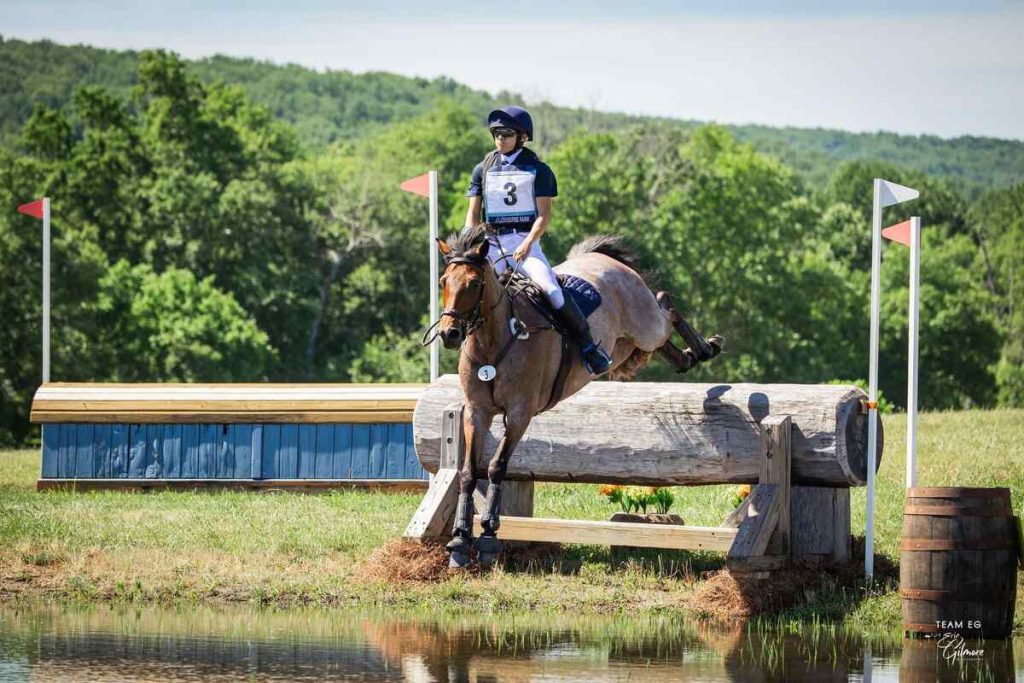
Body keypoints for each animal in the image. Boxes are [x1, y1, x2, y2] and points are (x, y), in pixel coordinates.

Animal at [434, 226, 723, 567]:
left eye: (474, 283)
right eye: (443, 282)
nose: (450, 333)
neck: (494, 341)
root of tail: (601, 257)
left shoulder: (519, 414)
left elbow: (496, 466)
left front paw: (489, 536)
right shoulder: (476, 412)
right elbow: (467, 472)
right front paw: (459, 540)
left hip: (644, 324)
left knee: (667, 308)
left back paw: (706, 347)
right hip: (625, 345)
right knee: (659, 336)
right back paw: (688, 357)